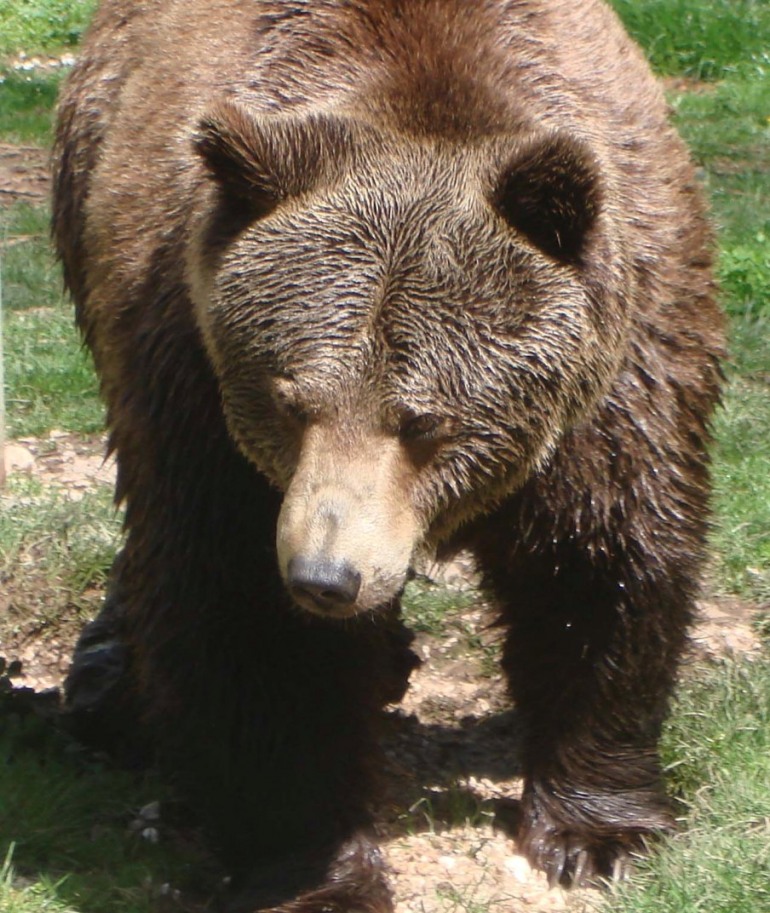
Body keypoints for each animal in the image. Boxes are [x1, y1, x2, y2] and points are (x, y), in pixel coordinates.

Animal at [52, 0, 720, 908]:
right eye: (289, 399)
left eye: (425, 420)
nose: (327, 576)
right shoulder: (194, 380)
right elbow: (248, 615)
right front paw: (318, 866)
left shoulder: (619, 375)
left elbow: (601, 563)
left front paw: (600, 832)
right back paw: (110, 688)